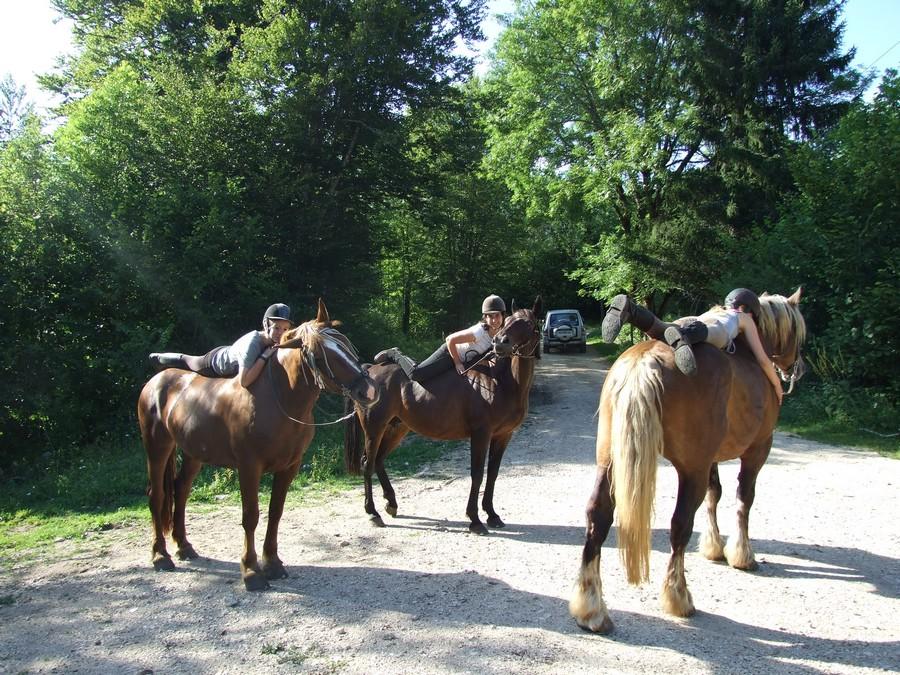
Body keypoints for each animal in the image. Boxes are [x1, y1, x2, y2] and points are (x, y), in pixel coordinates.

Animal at [137, 302, 380, 592]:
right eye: (319, 356)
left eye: (346, 345)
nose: (369, 391)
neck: (280, 400)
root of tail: (156, 381)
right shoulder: (249, 467)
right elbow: (250, 516)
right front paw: (251, 571)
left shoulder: (289, 466)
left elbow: (275, 512)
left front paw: (272, 563)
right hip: (157, 447)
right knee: (157, 495)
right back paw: (160, 556)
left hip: (193, 453)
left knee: (180, 490)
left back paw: (184, 546)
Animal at [344, 298, 540, 536]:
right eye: (509, 320)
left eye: (527, 323)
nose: (500, 343)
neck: (501, 382)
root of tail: (369, 372)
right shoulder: (481, 434)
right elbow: (477, 474)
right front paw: (475, 520)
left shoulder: (504, 436)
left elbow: (493, 474)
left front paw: (492, 515)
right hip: (374, 428)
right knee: (368, 463)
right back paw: (373, 513)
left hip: (396, 428)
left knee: (379, 460)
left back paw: (391, 504)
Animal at [568, 290, 808, 632]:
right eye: (798, 333)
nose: (796, 368)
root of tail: (646, 361)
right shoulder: (757, 450)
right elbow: (743, 499)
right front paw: (741, 554)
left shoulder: (711, 459)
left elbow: (715, 494)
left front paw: (713, 547)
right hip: (691, 469)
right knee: (680, 524)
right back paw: (678, 597)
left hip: (609, 463)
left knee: (597, 517)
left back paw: (591, 610)